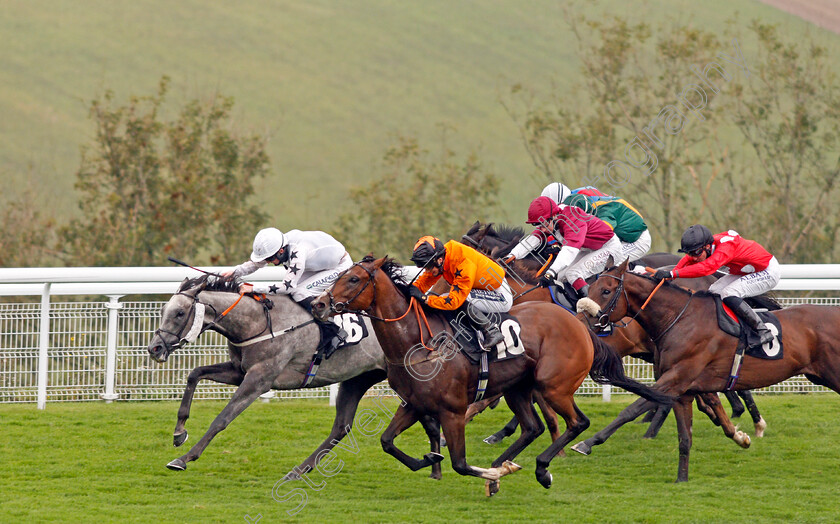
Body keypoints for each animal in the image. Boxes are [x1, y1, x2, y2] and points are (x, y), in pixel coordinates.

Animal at [147, 276, 442, 476]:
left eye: (179, 313)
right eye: (163, 311)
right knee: (344, 426)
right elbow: (194, 374)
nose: (154, 348)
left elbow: (222, 419)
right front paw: (179, 432)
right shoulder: (240, 371)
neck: (259, 322)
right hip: (361, 378)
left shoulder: (259, 379)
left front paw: (184, 458)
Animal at [312, 256, 672, 494]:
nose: (318, 304)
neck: (416, 343)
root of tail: (580, 324)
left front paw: (480, 471)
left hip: (553, 387)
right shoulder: (413, 404)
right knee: (532, 427)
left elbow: (459, 464)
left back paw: (541, 469)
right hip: (518, 388)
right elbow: (387, 442)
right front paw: (429, 459)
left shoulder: (452, 411)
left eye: (353, 279)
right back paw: (504, 465)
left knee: (575, 423)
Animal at [580, 256, 840, 482]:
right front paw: (682, 479)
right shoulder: (683, 390)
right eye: (589, 288)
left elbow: (631, 409)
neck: (680, 319)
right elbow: (685, 437)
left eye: (606, 291)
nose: (581, 323)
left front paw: (587, 443)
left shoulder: (675, 379)